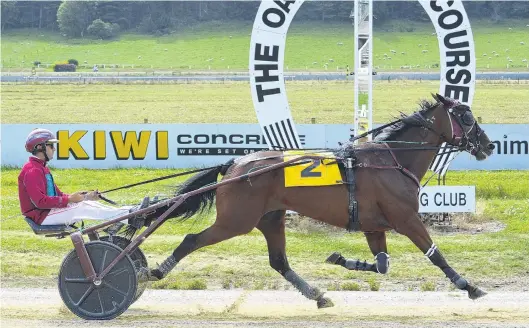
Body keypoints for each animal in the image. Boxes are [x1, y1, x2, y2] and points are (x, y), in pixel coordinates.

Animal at [146, 94, 492, 308]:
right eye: (466, 116)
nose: (488, 144)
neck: (392, 160)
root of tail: (234, 165)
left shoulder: (374, 226)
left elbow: (381, 265)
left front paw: (340, 259)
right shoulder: (406, 219)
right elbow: (435, 255)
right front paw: (469, 286)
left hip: (270, 218)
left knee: (279, 262)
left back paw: (318, 295)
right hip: (236, 220)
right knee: (191, 240)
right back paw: (157, 272)